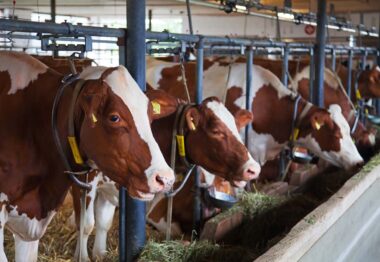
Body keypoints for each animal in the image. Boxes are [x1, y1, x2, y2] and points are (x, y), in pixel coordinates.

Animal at [70, 88, 260, 260]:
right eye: (216, 131)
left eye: (237, 128)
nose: (254, 168)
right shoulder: (83, 181)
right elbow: (86, 224)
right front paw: (82, 257)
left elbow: (104, 222)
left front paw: (100, 254)